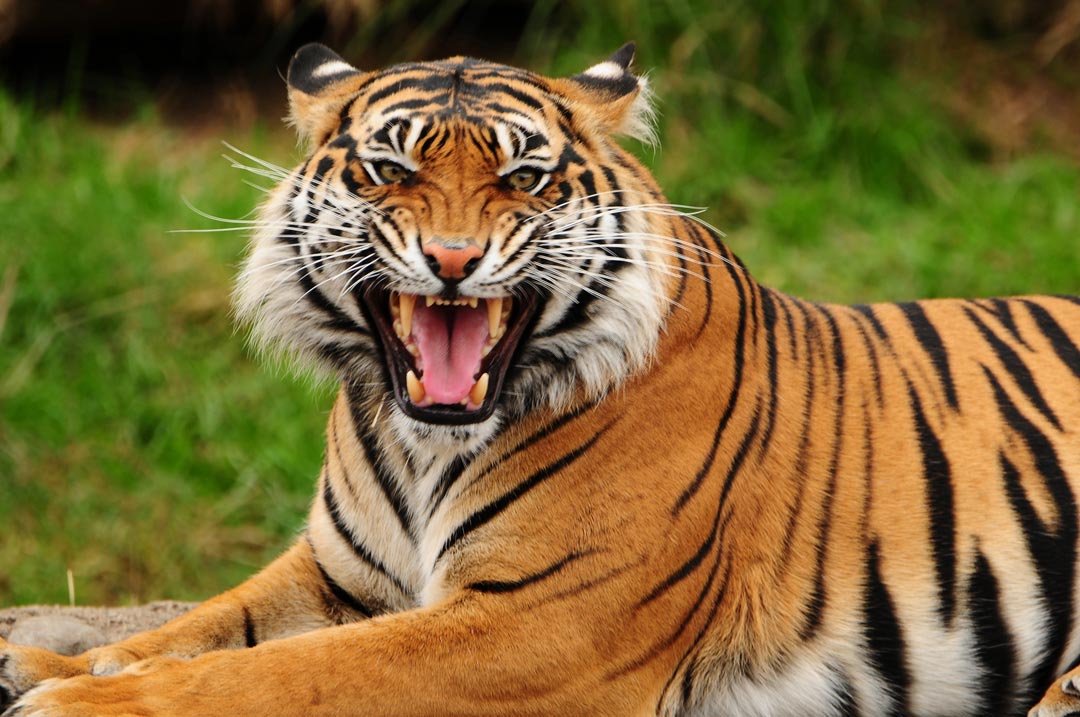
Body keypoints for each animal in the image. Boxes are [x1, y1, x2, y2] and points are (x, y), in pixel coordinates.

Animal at [2, 41, 1080, 717]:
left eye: (522, 179)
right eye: (390, 171)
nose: (451, 260)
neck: (420, 443)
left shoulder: (539, 627)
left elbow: (276, 678)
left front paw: (72, 700)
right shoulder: (340, 577)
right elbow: (205, 628)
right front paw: (46, 661)